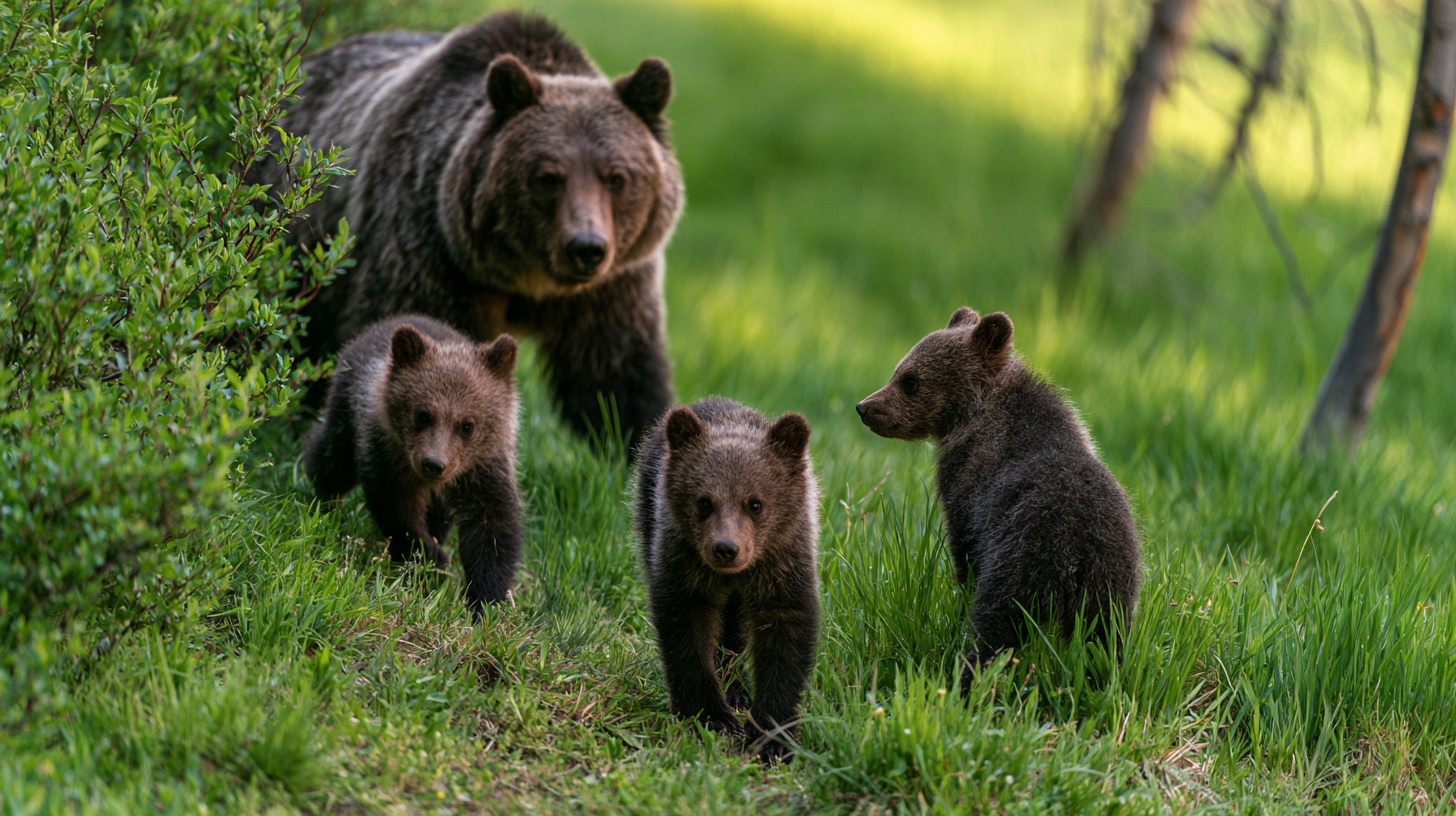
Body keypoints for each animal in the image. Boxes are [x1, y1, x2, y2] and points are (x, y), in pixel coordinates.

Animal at [249, 11, 684, 453]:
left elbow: (616, 371)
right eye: (548, 177)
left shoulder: (610, 289)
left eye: (616, 177)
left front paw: (632, 442)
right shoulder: (431, 257)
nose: (586, 248)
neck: (527, 281)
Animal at [304, 314, 524, 615]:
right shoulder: (387, 455)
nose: (434, 463)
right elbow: (398, 509)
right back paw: (321, 493)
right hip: (346, 411)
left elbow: (491, 527)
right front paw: (432, 556)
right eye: (422, 415)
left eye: (467, 425)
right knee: (334, 460)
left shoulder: (483, 468)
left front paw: (486, 601)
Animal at [634, 397, 820, 763]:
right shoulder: (683, 563)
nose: (726, 548)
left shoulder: (783, 564)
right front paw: (711, 715)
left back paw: (737, 690)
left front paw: (771, 736)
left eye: (756, 503)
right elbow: (687, 634)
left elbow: (784, 641)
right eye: (704, 502)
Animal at [855, 308, 1141, 689]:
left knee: (997, 627)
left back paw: (967, 679)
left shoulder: (968, 488)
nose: (865, 407)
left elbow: (964, 550)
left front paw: (960, 604)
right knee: (1104, 640)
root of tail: (1078, 551)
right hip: (1111, 581)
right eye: (898, 371)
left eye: (910, 380)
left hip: (1022, 557)